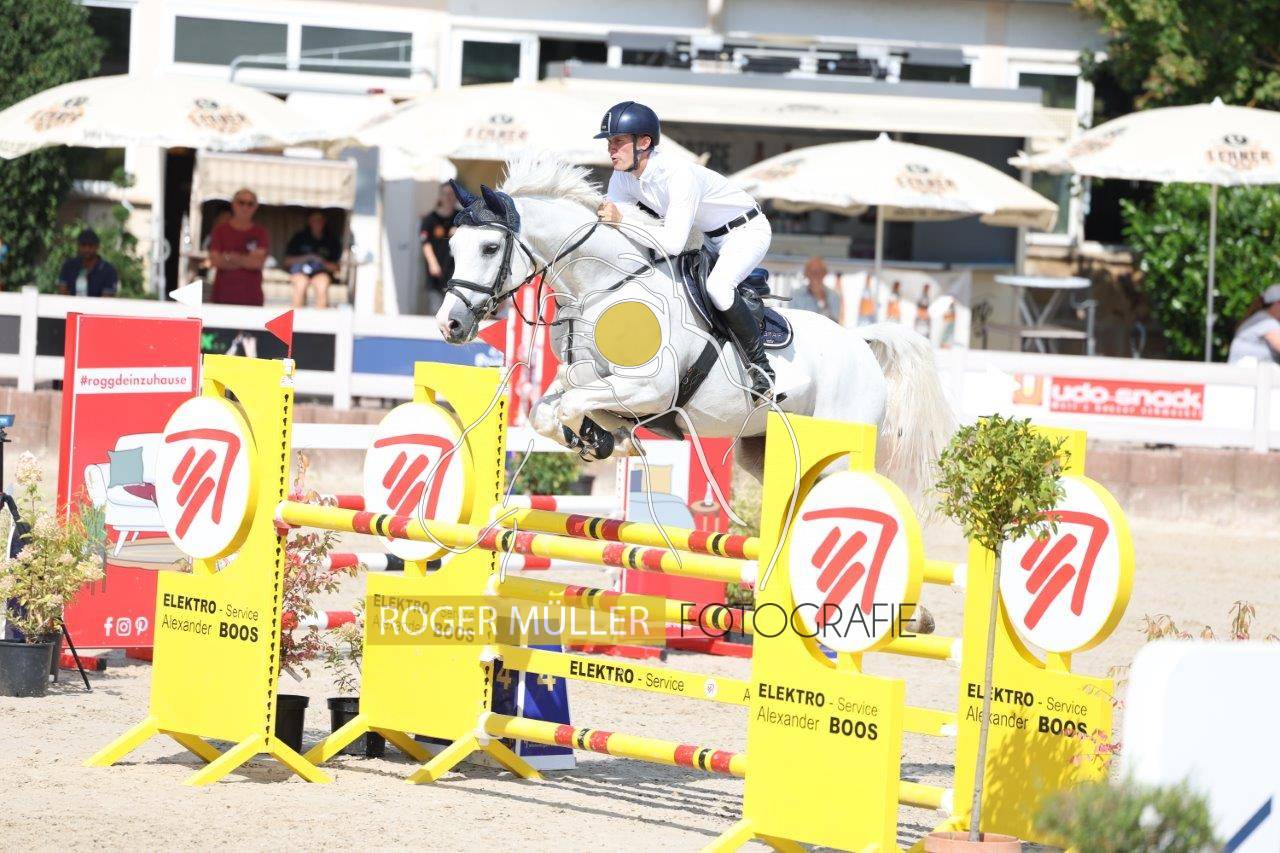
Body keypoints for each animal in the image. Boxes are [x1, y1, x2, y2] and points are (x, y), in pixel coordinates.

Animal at [434, 155, 954, 492]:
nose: (449, 325)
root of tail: (861, 344)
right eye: (453, 245)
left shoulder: (651, 388)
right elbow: (550, 410)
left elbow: (571, 405)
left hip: (840, 445)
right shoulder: (586, 377)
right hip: (762, 449)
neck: (605, 289)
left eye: (489, 247)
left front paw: (605, 441)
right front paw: (602, 440)